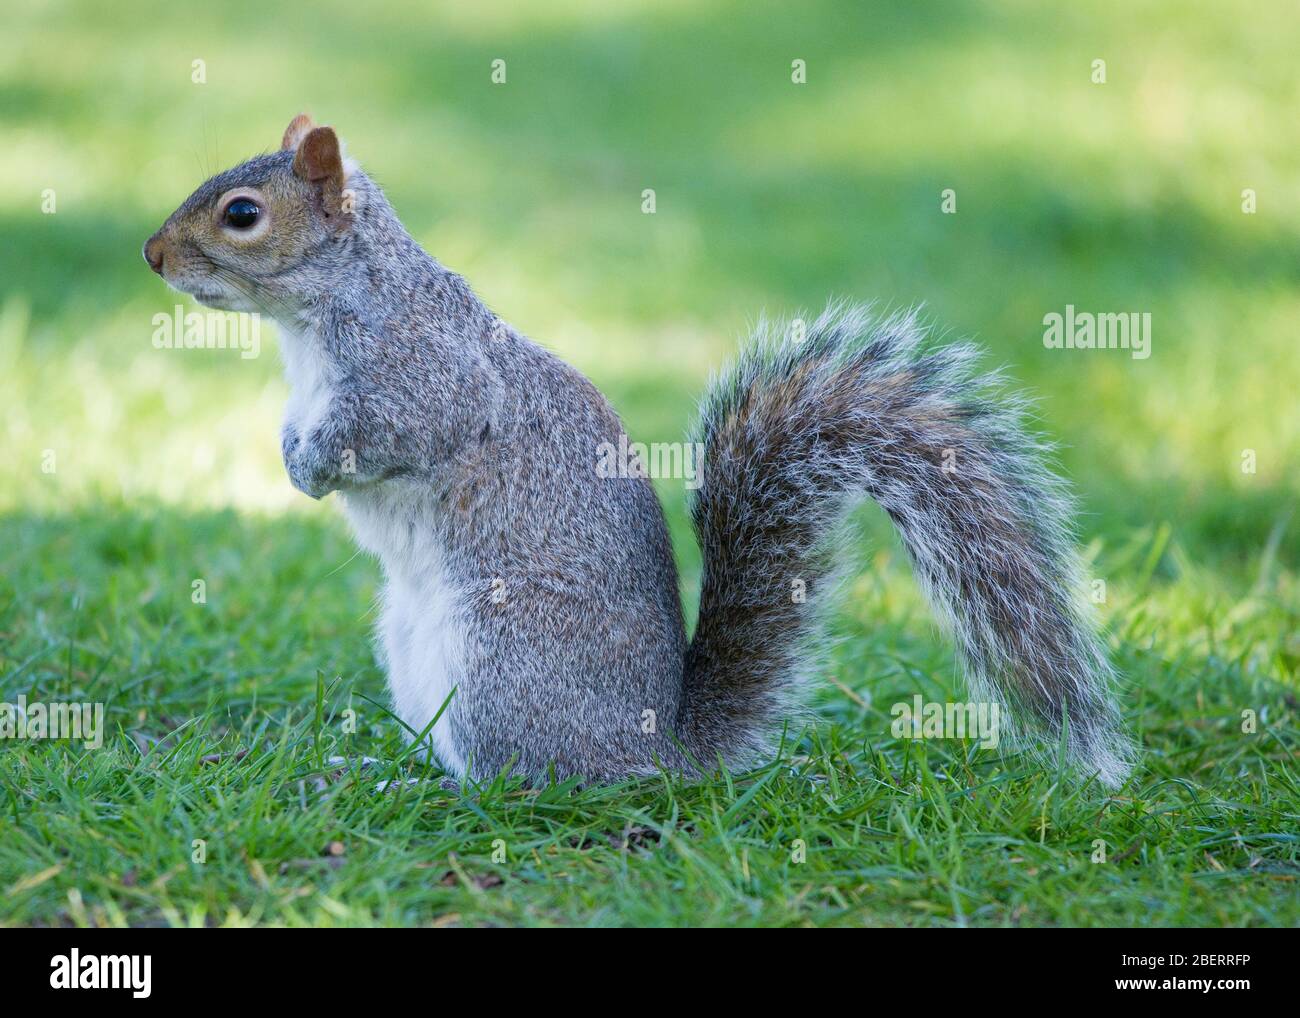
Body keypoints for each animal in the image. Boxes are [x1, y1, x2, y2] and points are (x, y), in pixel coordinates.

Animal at [142, 117, 1133, 790]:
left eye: (241, 214)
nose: (152, 254)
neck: (313, 320)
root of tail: (656, 749)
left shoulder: (424, 376)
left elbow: (389, 432)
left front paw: (312, 468)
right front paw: (287, 452)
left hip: (504, 655)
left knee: (526, 782)